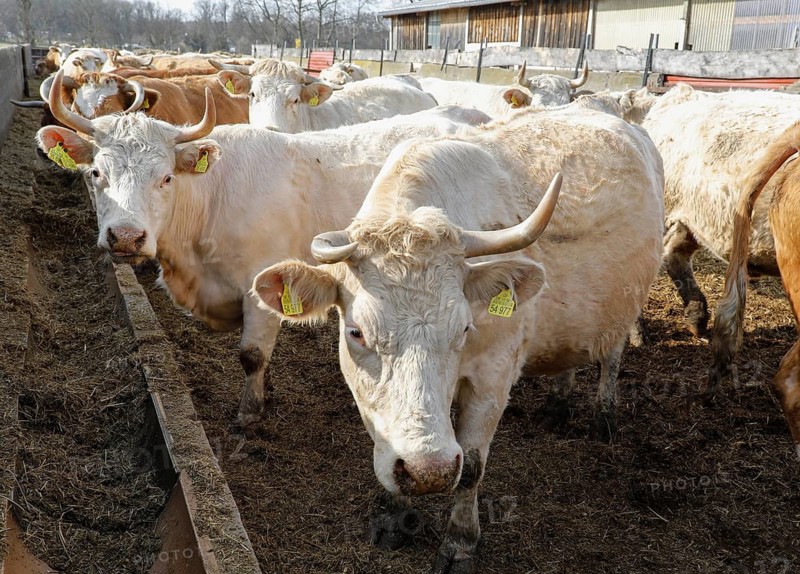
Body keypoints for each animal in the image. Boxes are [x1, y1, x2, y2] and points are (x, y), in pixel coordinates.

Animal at [252, 105, 664, 572]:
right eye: (356, 332)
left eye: (465, 328)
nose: (428, 470)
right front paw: (394, 519)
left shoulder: (493, 378)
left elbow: (472, 467)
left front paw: (460, 543)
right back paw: (557, 406)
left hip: (624, 305)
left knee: (611, 355)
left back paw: (604, 416)